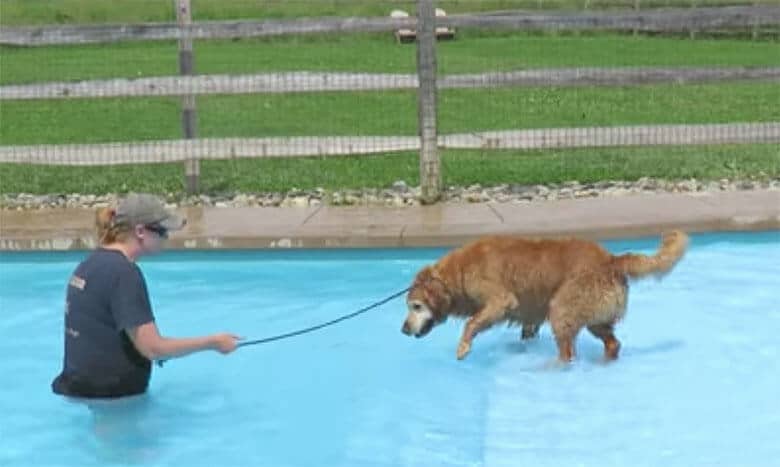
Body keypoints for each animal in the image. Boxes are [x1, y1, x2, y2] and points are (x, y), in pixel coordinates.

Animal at [402, 232, 688, 364]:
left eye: (416, 306)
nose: (404, 330)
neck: (458, 272)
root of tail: (612, 260)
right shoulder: (529, 318)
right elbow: (527, 331)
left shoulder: (501, 300)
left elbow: (471, 322)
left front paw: (463, 347)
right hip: (595, 314)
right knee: (612, 343)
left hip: (562, 308)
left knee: (568, 351)